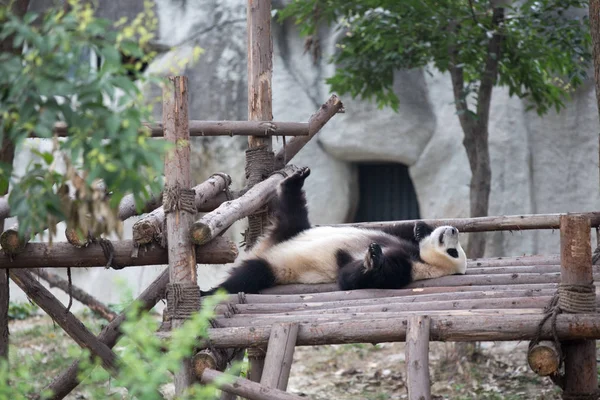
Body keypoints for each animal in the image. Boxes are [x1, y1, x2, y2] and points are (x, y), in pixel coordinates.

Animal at [199, 167, 466, 296]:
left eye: (453, 252)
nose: (453, 229)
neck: (420, 258)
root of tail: (263, 248)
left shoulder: (409, 269)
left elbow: (351, 277)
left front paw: (373, 259)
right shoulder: (401, 241)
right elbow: (402, 228)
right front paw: (421, 228)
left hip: (276, 267)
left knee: (249, 276)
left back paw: (209, 293)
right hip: (292, 229)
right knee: (293, 210)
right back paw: (295, 180)